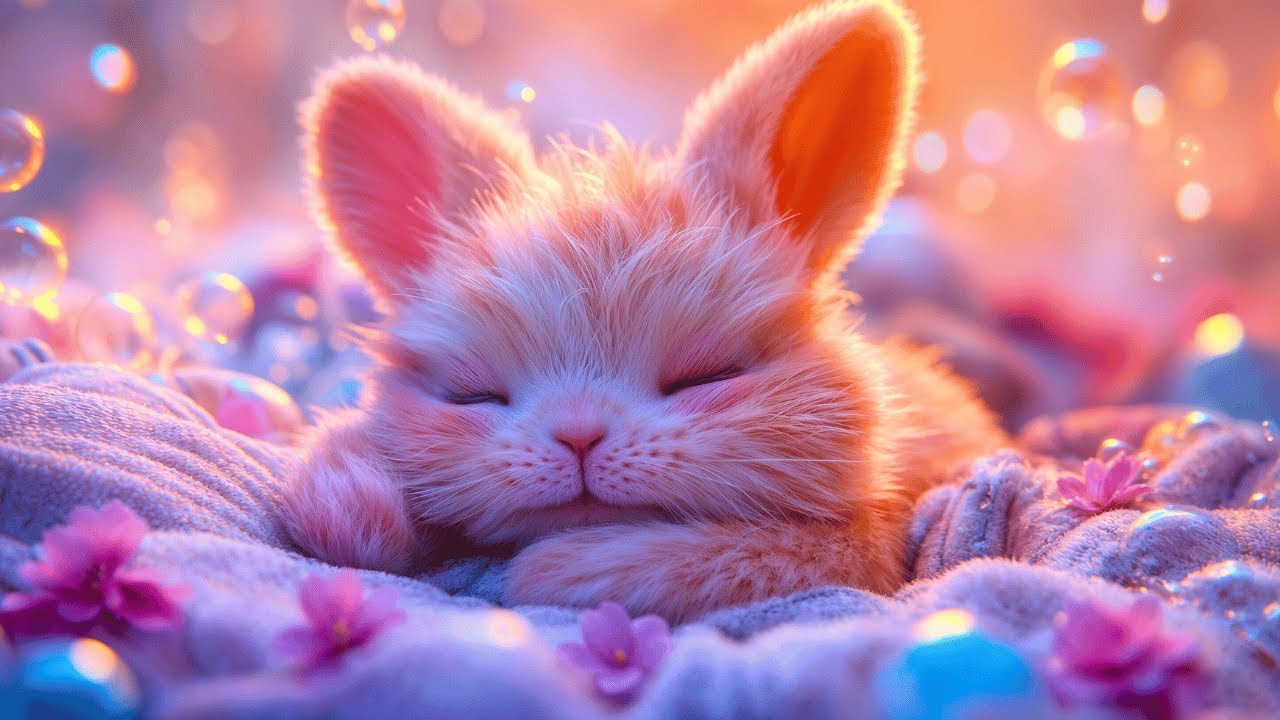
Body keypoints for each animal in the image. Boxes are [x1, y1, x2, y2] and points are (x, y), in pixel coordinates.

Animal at [282, 0, 1008, 622]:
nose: (579, 436)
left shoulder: (860, 551)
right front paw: (350, 493)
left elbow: (705, 559)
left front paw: (557, 569)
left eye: (709, 375)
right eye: (471, 394)